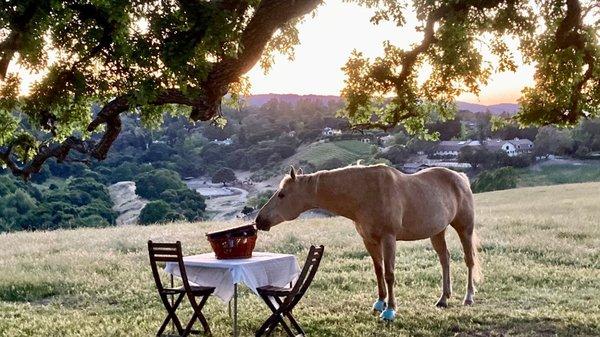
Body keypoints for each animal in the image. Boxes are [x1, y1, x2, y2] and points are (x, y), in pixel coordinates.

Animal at [255, 164, 480, 318]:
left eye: (282, 194)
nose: (259, 221)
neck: (365, 193)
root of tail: (460, 177)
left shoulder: (389, 239)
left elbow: (389, 274)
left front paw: (390, 311)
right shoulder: (369, 241)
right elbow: (378, 271)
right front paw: (380, 303)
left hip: (464, 229)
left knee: (469, 260)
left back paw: (468, 297)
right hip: (437, 232)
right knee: (445, 259)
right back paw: (443, 299)